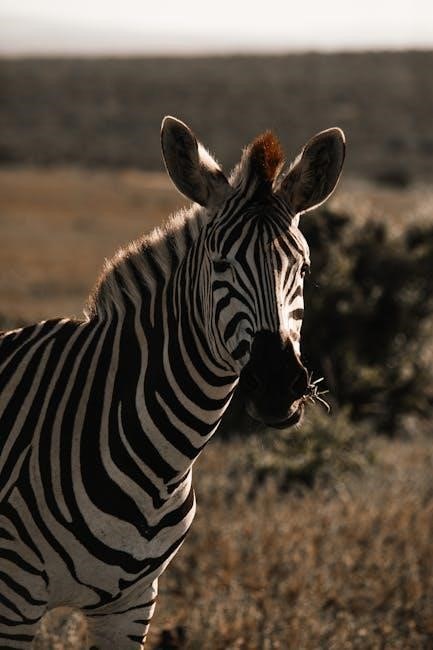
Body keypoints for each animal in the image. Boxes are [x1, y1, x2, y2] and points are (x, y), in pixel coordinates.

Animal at [0, 116, 345, 648]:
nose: (278, 385)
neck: (159, 466)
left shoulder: (133, 604)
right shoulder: (14, 600)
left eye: (304, 268)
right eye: (220, 265)